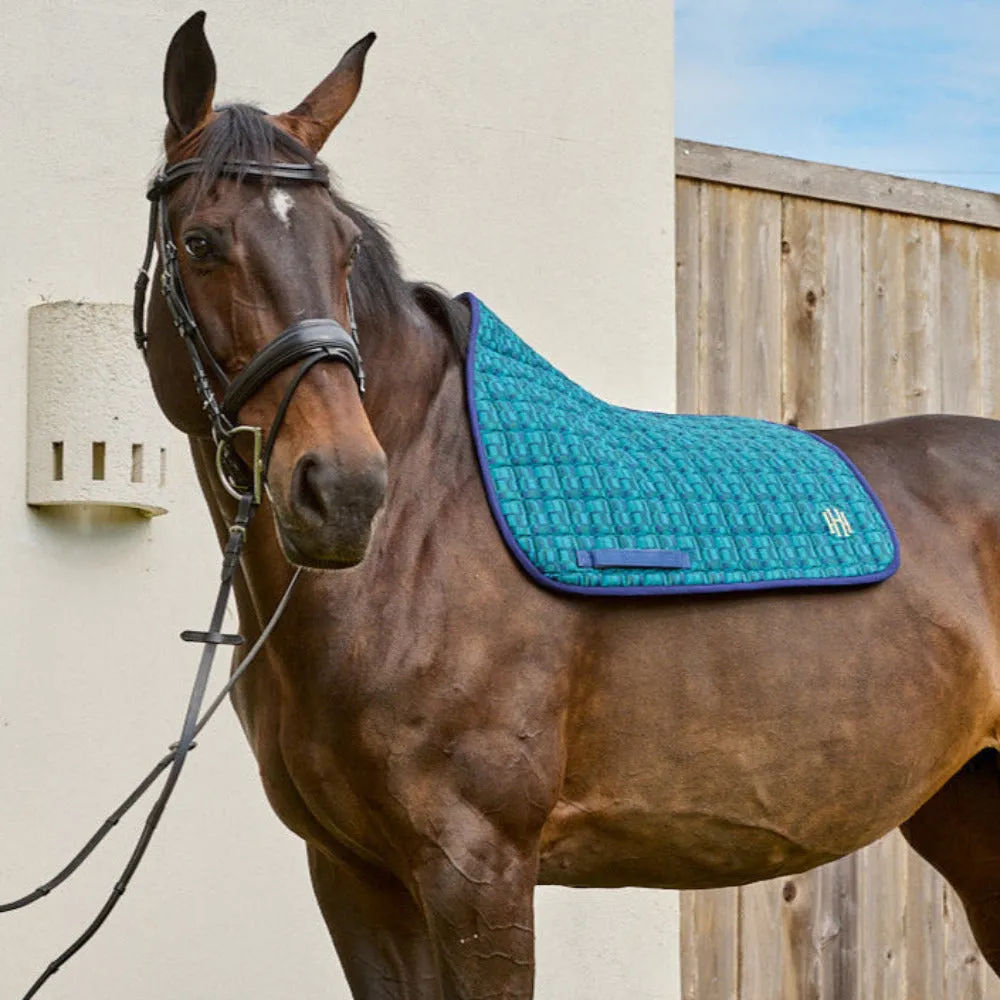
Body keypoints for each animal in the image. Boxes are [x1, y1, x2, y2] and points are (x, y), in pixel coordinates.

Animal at [143, 11, 1000, 996]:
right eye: (201, 243)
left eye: (346, 248)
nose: (346, 489)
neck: (415, 546)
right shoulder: (354, 875)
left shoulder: (479, 871)